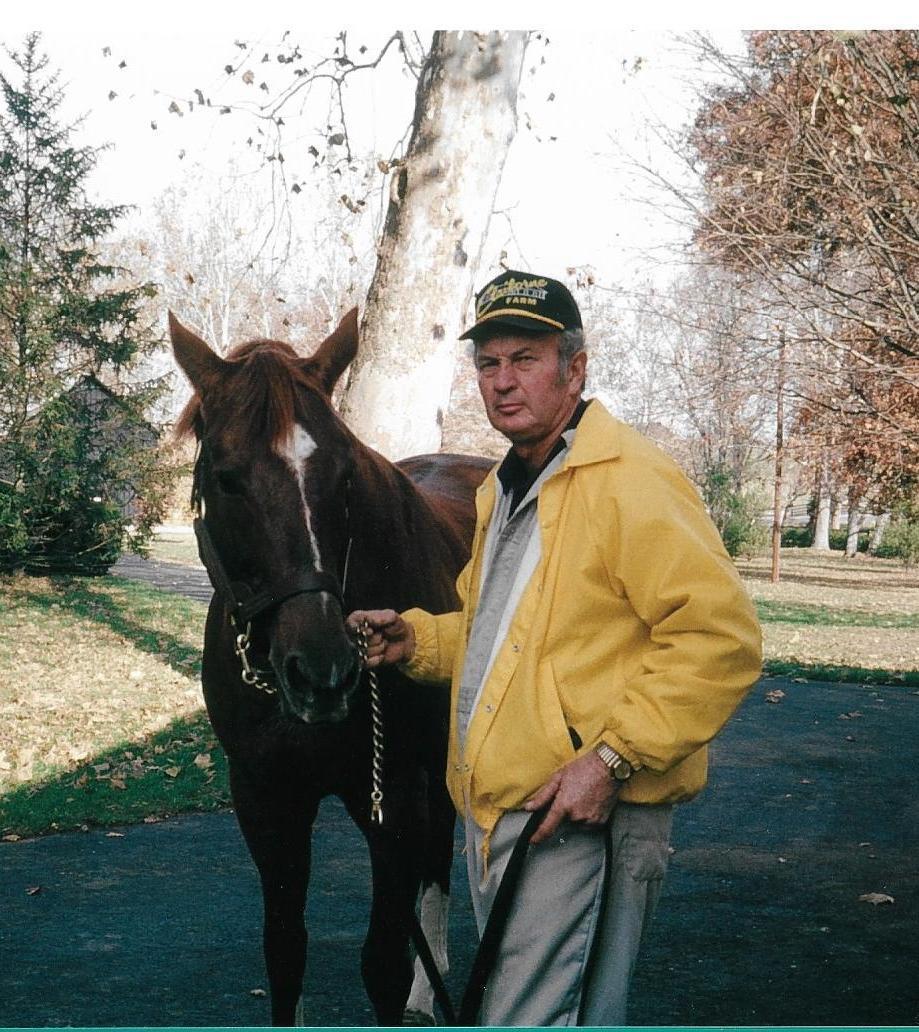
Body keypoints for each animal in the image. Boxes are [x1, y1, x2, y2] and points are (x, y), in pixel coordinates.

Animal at [170, 307, 493, 1023]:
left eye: (345, 475)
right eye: (225, 476)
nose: (323, 672)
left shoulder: (390, 793)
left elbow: (383, 962)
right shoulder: (266, 798)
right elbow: (285, 951)